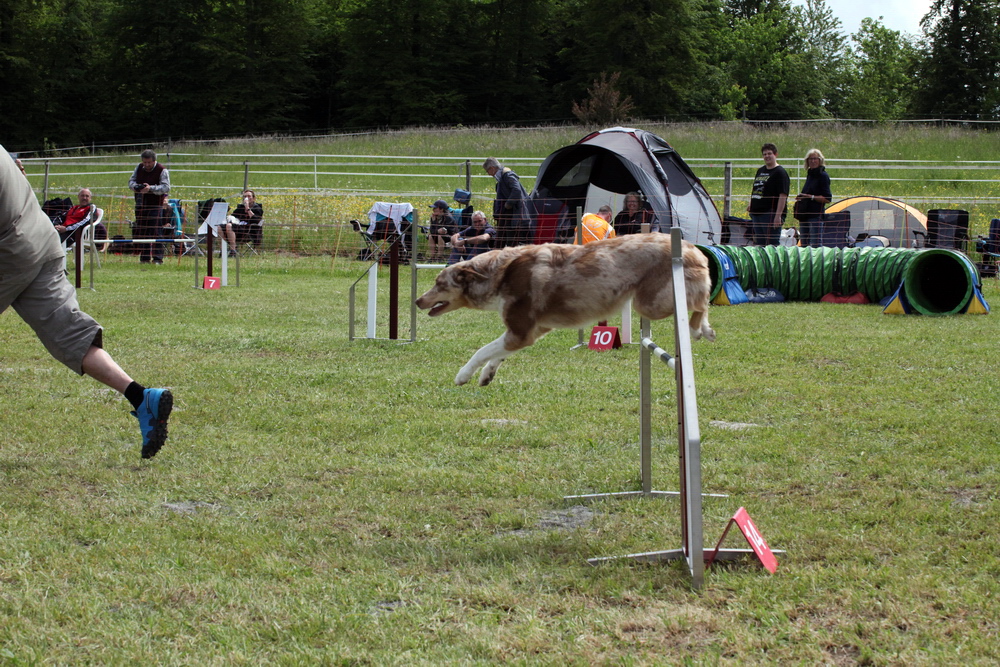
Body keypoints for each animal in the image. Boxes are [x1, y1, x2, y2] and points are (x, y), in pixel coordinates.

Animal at [415, 232, 716, 386]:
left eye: (439, 283)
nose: (417, 301)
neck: (499, 275)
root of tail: (692, 247)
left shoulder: (520, 331)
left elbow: (482, 350)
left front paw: (463, 375)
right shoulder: (529, 333)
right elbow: (496, 355)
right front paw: (487, 375)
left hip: (650, 304)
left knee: (701, 302)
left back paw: (697, 329)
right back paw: (705, 329)